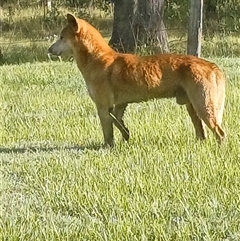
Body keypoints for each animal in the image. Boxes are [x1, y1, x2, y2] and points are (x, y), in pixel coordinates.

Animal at [47, 13, 226, 147]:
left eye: (62, 37)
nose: (49, 49)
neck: (97, 59)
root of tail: (213, 66)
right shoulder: (119, 105)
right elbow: (118, 121)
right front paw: (125, 135)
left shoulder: (102, 107)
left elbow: (108, 131)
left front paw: (107, 147)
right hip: (192, 107)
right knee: (202, 133)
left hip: (203, 106)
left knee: (220, 133)